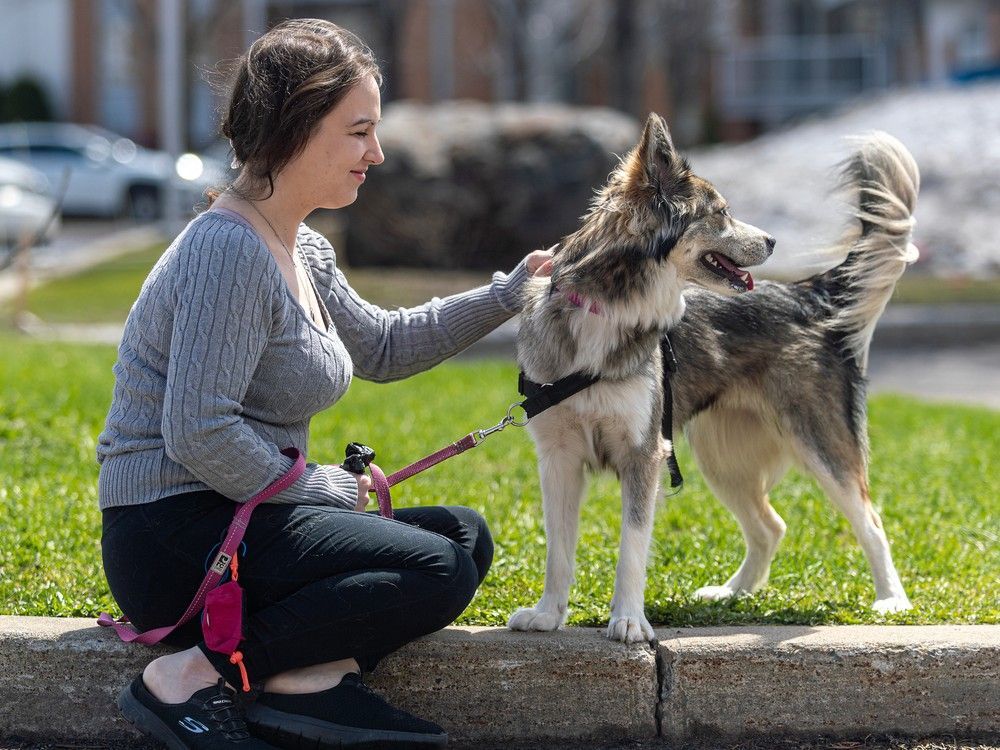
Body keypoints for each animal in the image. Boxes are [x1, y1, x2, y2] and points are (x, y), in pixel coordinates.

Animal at [508, 114, 772, 644]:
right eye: (722, 213)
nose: (775, 241)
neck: (608, 307)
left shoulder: (644, 453)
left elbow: (631, 547)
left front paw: (628, 620)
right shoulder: (558, 456)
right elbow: (557, 549)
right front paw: (548, 614)